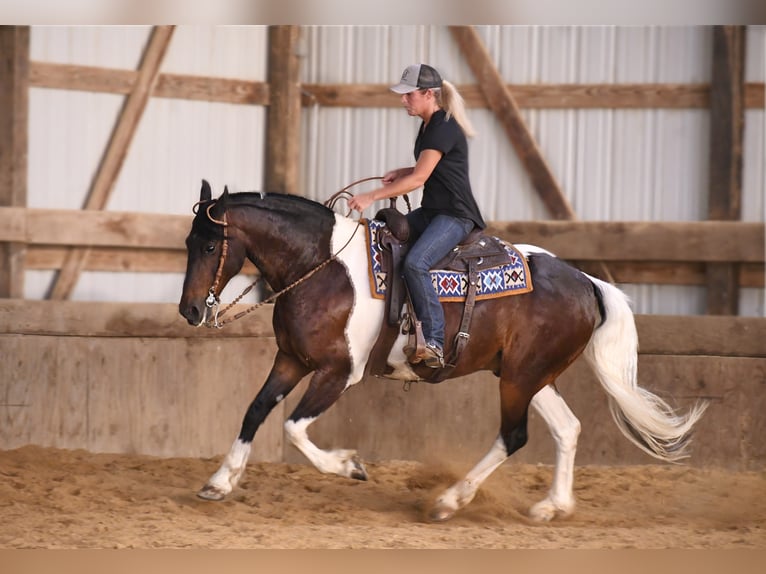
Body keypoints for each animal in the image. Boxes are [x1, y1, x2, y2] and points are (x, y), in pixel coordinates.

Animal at [178, 182, 708, 524]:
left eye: (209, 246)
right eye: (188, 242)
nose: (188, 310)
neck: (323, 267)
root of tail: (587, 282)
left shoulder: (338, 371)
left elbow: (292, 427)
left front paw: (350, 466)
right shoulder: (290, 360)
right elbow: (255, 411)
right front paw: (219, 482)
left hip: (520, 378)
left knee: (513, 436)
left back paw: (449, 501)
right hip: (529, 375)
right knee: (567, 428)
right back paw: (552, 506)